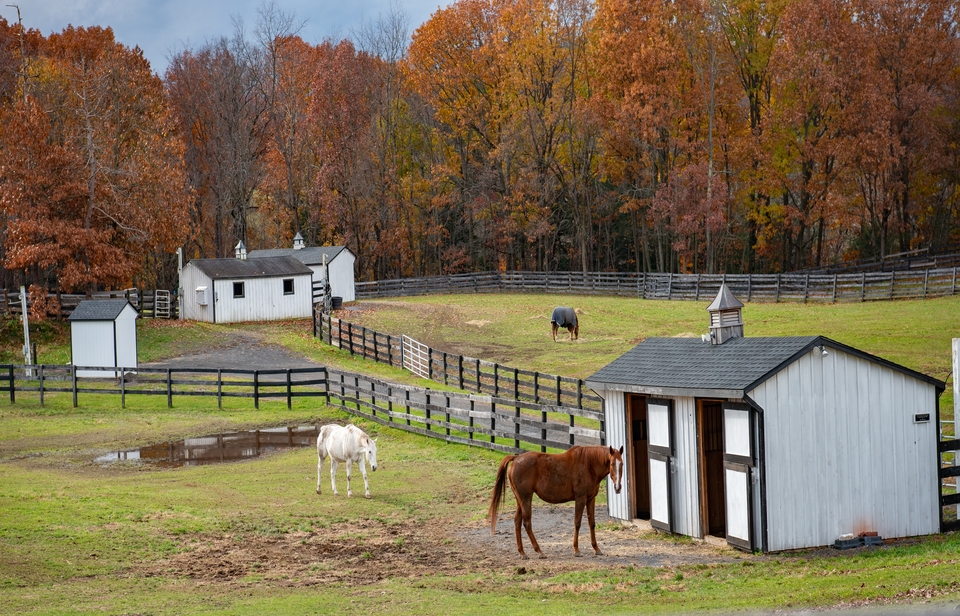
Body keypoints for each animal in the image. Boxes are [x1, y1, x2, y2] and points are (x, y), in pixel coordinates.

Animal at [488, 446, 624, 560]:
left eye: (622, 464)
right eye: (612, 463)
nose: (618, 488)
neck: (588, 465)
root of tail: (516, 458)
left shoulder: (590, 499)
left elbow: (592, 524)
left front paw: (596, 548)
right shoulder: (580, 499)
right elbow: (577, 523)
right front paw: (576, 550)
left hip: (520, 499)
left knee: (517, 521)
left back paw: (522, 552)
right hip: (526, 498)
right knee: (527, 523)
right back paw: (539, 551)